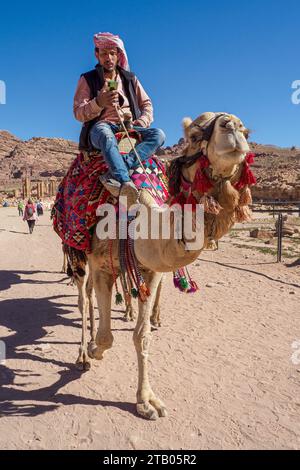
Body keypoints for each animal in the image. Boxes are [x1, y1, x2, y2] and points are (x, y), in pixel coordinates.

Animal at [71, 113, 252, 418]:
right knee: (84, 298)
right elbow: (107, 336)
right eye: (193, 136)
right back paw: (84, 353)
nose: (233, 125)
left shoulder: (150, 270)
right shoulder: (102, 266)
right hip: (80, 255)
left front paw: (146, 401)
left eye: (247, 132)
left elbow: (141, 336)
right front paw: (95, 350)